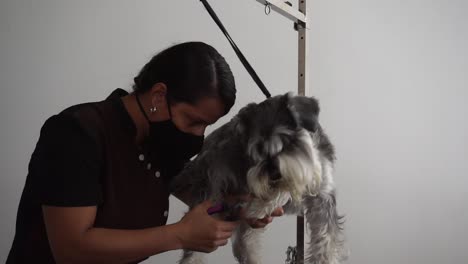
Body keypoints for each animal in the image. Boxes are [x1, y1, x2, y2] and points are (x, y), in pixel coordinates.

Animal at [170, 93, 346, 264]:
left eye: (287, 140)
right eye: (257, 149)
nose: (273, 174)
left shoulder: (323, 197)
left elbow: (326, 240)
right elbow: (280, 190)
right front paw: (260, 206)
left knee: (244, 243)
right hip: (211, 185)